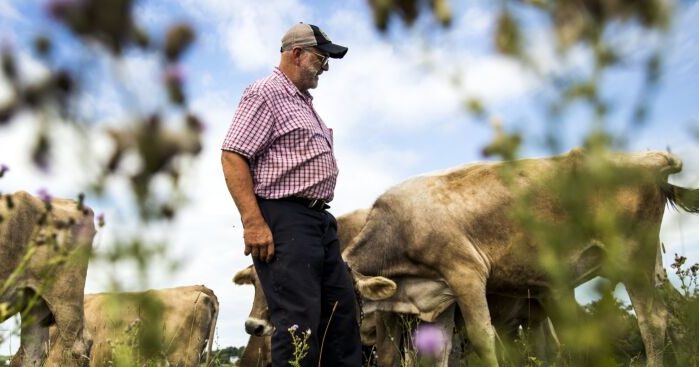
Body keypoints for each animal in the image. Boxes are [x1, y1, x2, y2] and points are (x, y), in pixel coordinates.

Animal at [344, 150, 699, 367]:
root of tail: (651, 159)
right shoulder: (440, 299)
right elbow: (437, 354)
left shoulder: (465, 272)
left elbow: (483, 339)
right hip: (649, 267)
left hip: (632, 256)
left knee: (653, 319)